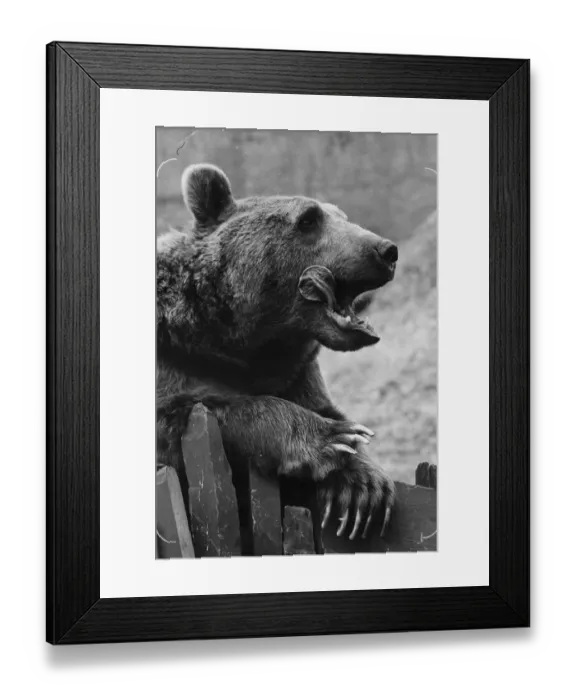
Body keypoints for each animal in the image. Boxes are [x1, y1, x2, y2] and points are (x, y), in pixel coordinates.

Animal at [156, 163, 398, 543]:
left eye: (342, 216)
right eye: (308, 219)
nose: (385, 250)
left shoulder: (297, 372)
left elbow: (332, 412)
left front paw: (365, 487)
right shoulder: (174, 354)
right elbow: (192, 413)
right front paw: (330, 437)